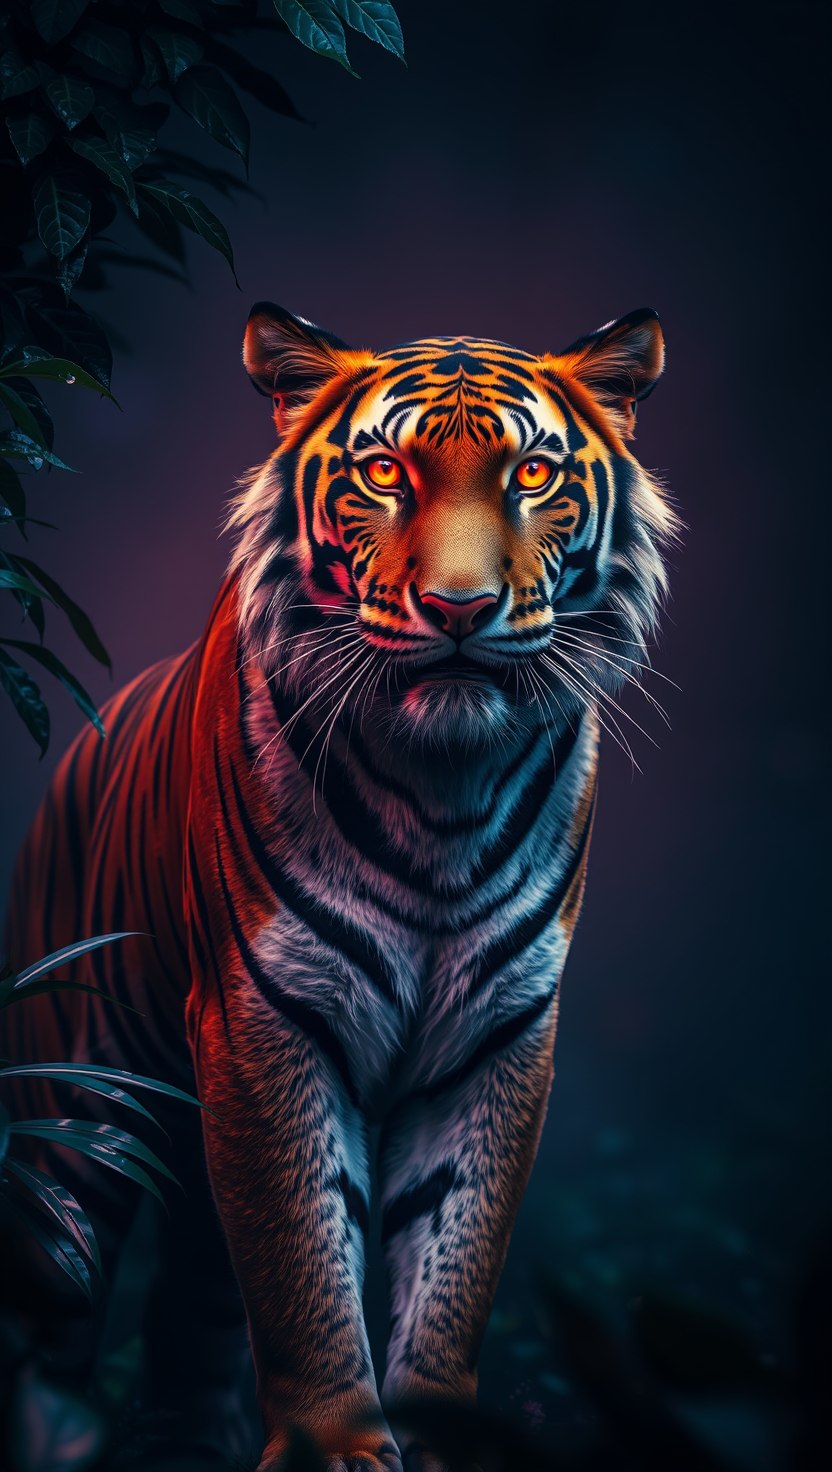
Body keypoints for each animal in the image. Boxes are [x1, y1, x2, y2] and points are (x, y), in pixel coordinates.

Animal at [2, 301, 676, 1472]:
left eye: (533, 473)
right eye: (384, 472)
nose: (459, 608)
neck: (443, 788)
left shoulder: (502, 1031)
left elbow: (453, 1253)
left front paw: (440, 1437)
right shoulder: (264, 1019)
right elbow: (301, 1254)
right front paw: (332, 1446)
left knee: (193, 1302)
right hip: (70, 1106)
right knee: (61, 1283)